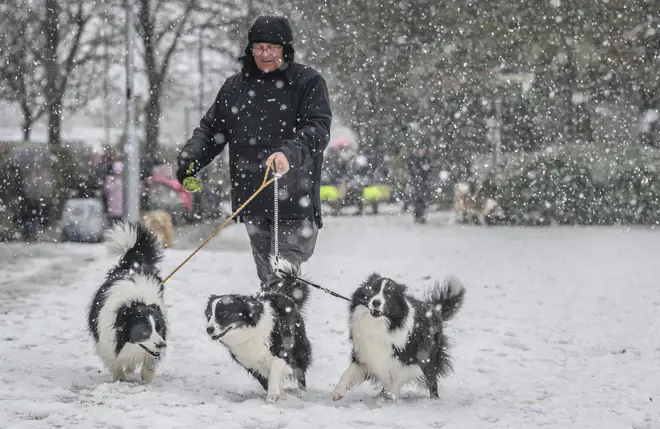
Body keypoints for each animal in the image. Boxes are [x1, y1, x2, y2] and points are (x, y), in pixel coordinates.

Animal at [87, 221, 168, 382]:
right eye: (145, 331)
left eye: (159, 329)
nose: (162, 345)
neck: (136, 302)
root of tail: (132, 265)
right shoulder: (106, 341)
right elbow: (115, 362)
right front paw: (120, 378)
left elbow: (149, 362)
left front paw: (147, 374)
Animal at [205, 258, 310, 402]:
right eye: (209, 315)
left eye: (223, 314)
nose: (208, 329)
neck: (246, 333)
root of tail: (284, 294)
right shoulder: (248, 361)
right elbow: (264, 378)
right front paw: (278, 393)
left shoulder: (280, 352)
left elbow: (275, 371)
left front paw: (272, 395)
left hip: (297, 346)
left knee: (300, 369)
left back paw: (302, 392)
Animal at [330, 272, 464, 400]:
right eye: (373, 290)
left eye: (389, 294)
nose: (376, 302)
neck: (379, 326)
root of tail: (434, 309)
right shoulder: (365, 355)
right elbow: (348, 373)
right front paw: (338, 391)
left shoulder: (405, 361)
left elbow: (395, 381)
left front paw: (387, 399)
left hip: (429, 356)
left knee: (432, 380)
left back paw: (433, 399)